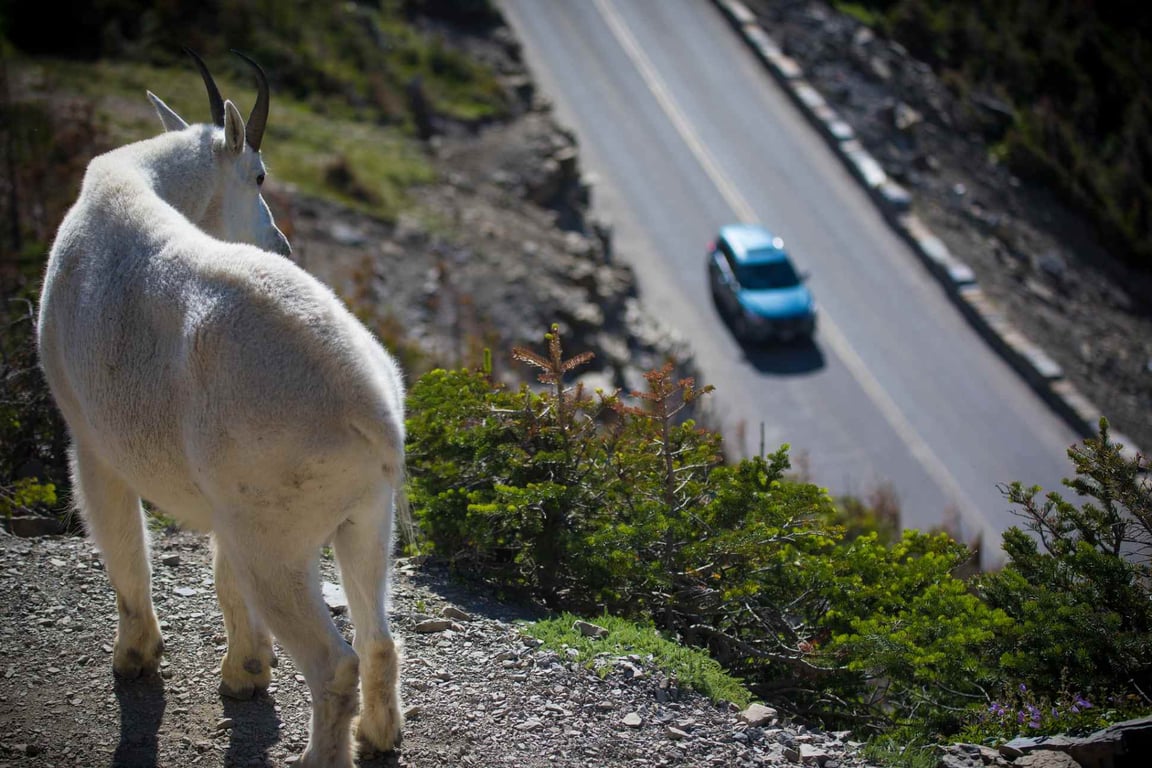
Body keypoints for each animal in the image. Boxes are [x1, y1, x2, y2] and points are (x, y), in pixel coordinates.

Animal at [38, 50, 407, 764]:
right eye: (258, 174)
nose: (282, 244)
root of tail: (371, 406)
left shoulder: (91, 442)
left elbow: (122, 542)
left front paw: (135, 658)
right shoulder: (223, 504)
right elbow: (221, 575)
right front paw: (244, 674)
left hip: (277, 540)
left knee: (336, 663)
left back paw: (320, 754)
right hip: (364, 519)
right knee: (378, 637)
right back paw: (379, 738)